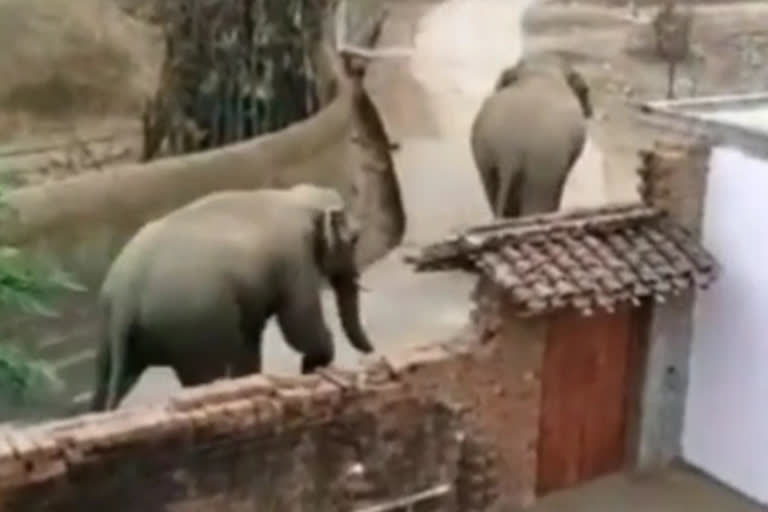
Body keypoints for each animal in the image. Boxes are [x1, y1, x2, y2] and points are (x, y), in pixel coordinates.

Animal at [91, 184, 376, 412]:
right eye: (355, 239)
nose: (372, 352)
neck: (295, 197)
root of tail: (124, 297)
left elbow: (251, 341)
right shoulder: (295, 259)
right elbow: (299, 323)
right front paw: (313, 365)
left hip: (116, 336)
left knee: (107, 381)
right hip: (192, 326)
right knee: (203, 376)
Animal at [468, 55, 592, 218]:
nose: (590, 113)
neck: (541, 70)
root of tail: (510, 155)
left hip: (486, 160)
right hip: (542, 166)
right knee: (537, 201)